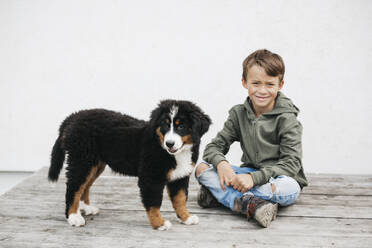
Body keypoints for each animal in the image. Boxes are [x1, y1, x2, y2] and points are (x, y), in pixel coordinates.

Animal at [48, 99, 211, 231]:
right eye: (164, 125)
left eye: (181, 126)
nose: (169, 143)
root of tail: (74, 116)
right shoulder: (151, 177)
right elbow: (154, 203)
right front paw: (159, 224)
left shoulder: (180, 176)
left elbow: (180, 199)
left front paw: (186, 217)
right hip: (82, 160)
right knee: (74, 187)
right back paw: (73, 217)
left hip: (94, 164)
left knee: (84, 186)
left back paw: (86, 208)